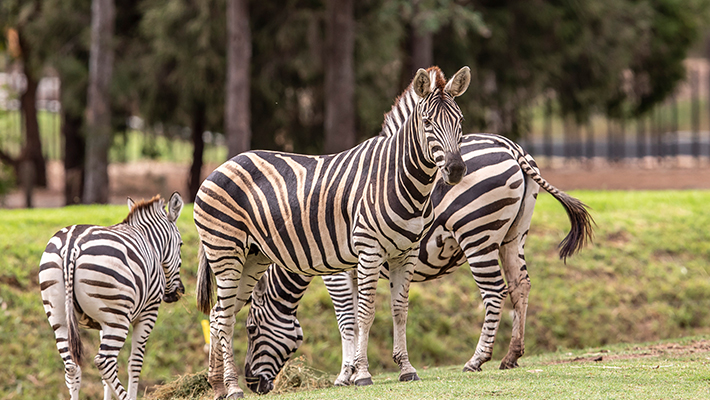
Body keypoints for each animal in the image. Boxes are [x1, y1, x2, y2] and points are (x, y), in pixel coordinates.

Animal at [39, 193, 185, 400]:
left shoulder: (102, 322)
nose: (178, 292)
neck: (150, 242)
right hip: (118, 318)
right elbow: (135, 362)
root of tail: (71, 245)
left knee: (72, 367)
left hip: (59, 317)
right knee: (104, 362)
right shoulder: (148, 312)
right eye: (181, 244)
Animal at [194, 66, 471, 398]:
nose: (456, 170)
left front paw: (405, 369)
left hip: (252, 257)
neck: (397, 178)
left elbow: (399, 310)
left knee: (220, 314)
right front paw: (360, 374)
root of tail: (221, 166)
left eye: (460, 121)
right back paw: (232, 388)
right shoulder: (364, 253)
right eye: (427, 122)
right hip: (226, 253)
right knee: (222, 318)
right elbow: (361, 314)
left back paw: (219, 386)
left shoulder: (406, 253)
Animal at [242, 133, 594, 393]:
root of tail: (508, 145)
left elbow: (346, 319)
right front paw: (356, 370)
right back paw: (511, 356)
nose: (252, 384)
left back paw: (477, 359)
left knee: (495, 292)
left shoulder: (336, 269)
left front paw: (345, 375)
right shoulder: (356, 263)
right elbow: (358, 314)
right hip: (514, 234)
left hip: (476, 231)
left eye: (250, 329)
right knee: (520, 285)